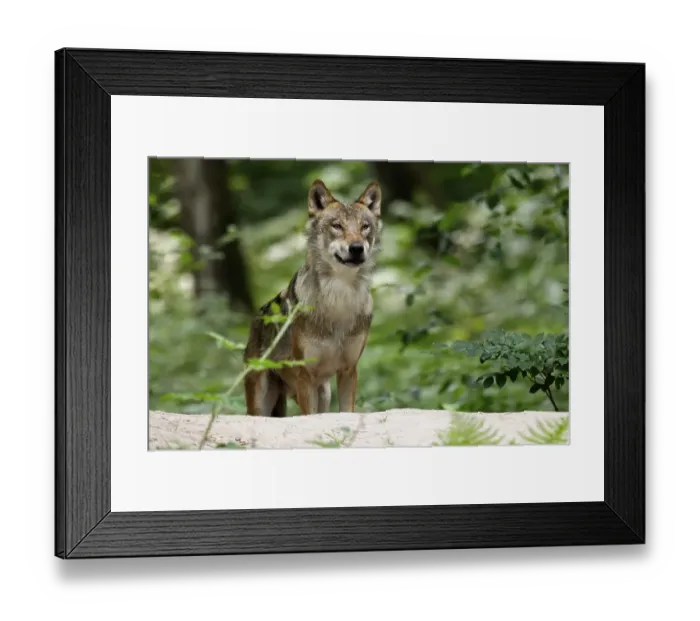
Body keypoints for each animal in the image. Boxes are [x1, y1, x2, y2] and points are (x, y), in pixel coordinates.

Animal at [243, 179, 382, 417]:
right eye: (337, 226)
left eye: (365, 227)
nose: (356, 248)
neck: (339, 298)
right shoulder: (305, 375)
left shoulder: (348, 371)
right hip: (262, 403)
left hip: (323, 392)